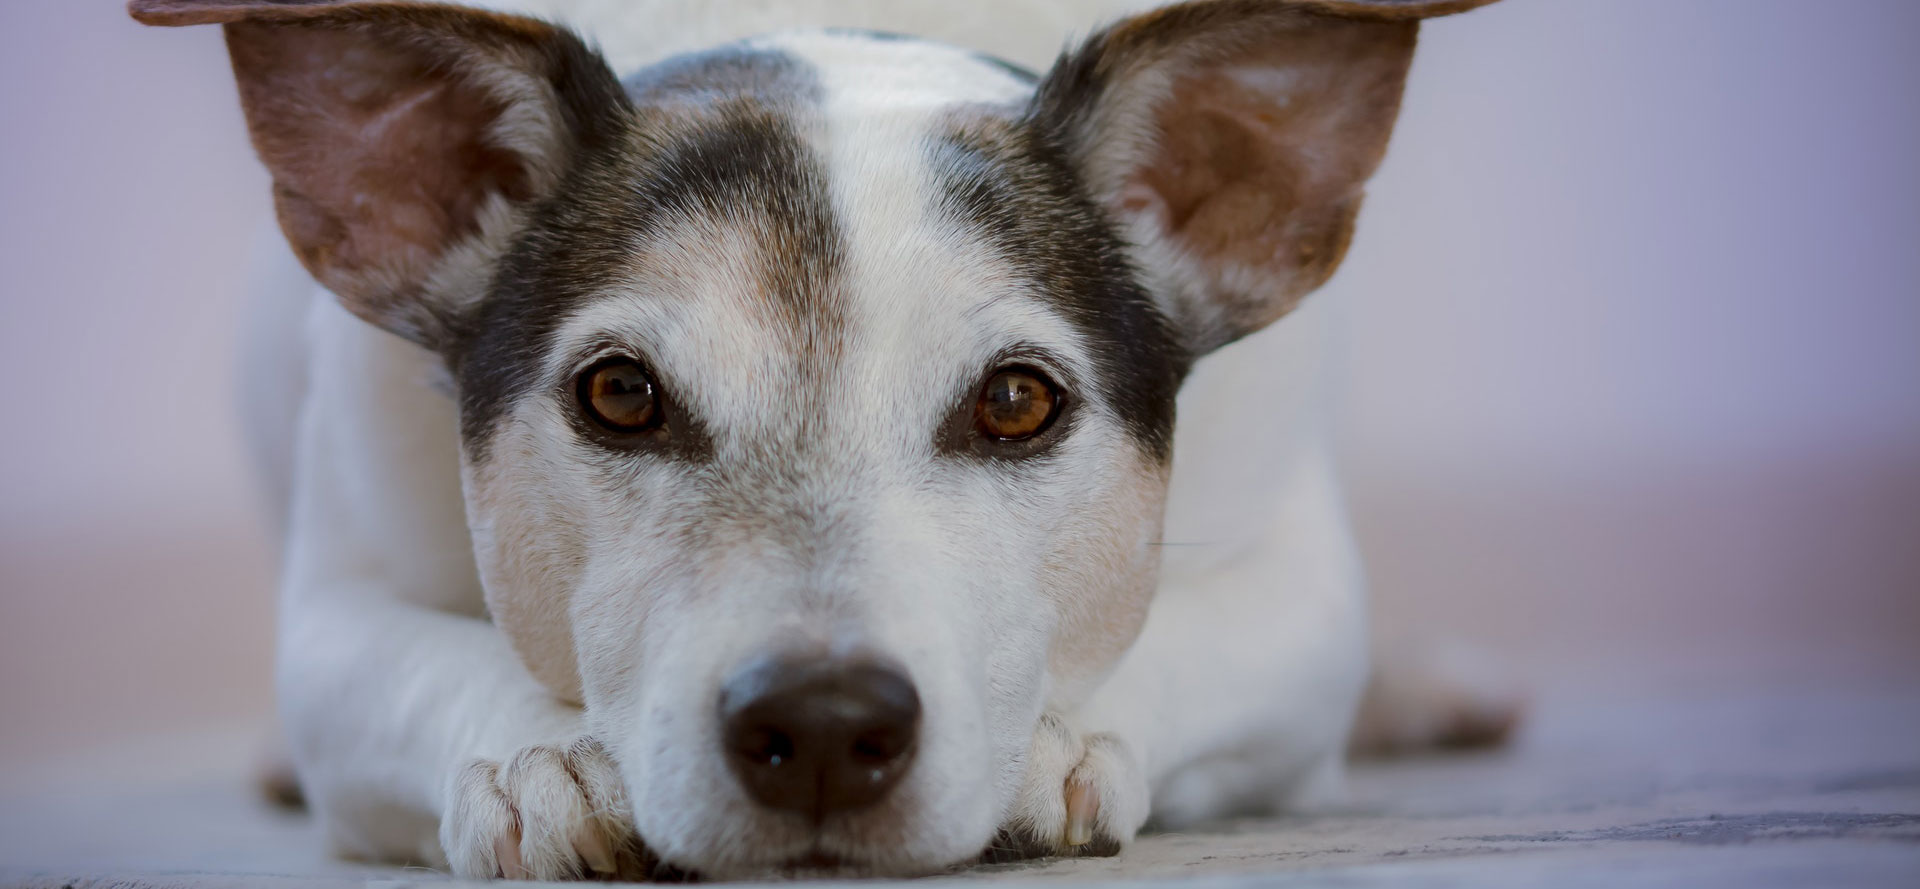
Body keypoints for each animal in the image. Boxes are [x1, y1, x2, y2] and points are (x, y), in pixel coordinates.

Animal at [135, 0, 1512, 879]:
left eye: (1018, 402)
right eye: (618, 393)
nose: (827, 727)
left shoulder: (1301, 594)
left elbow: (1187, 640)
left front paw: (1053, 743)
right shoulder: (336, 609)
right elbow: (414, 661)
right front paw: (546, 756)